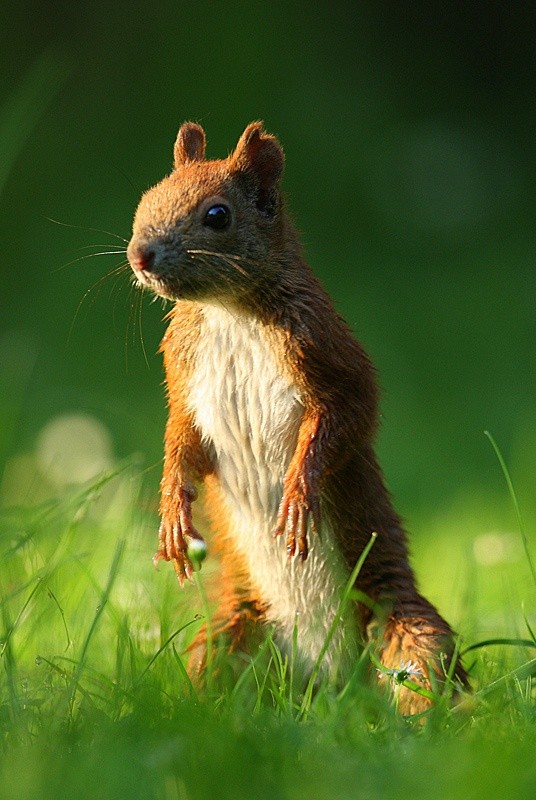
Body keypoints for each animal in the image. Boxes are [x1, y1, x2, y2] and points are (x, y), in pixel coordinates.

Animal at [127, 122, 466, 716]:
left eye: (218, 215)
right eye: (148, 196)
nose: (140, 255)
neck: (228, 311)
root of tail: (332, 683)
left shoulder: (327, 351)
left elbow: (346, 417)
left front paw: (297, 493)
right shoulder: (184, 376)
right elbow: (180, 440)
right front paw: (172, 512)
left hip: (404, 627)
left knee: (422, 672)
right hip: (234, 633)